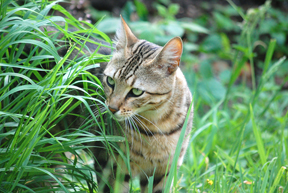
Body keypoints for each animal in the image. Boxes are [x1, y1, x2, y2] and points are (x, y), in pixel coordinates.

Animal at [96, 15, 194, 192]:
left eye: (136, 92)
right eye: (110, 81)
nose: (112, 108)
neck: (155, 126)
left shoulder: (165, 171)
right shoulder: (110, 165)